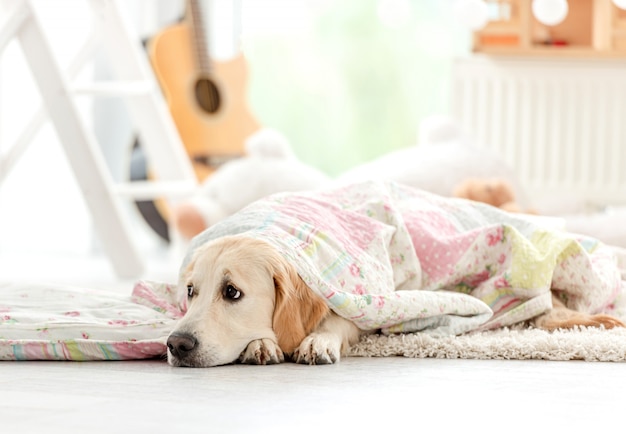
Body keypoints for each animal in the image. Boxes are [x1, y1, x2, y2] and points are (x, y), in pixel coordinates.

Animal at [166, 234, 624, 366]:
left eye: (232, 292)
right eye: (190, 291)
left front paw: (316, 340)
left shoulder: (358, 303)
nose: (176, 344)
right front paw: (262, 342)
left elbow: (335, 322)